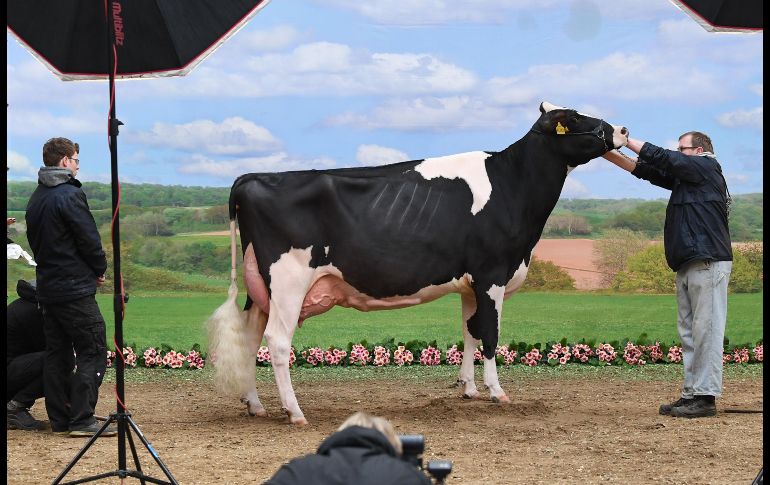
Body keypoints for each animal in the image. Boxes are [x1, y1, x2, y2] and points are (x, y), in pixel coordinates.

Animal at [207, 101, 628, 425]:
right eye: (573, 117)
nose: (622, 128)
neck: (512, 184)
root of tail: (253, 177)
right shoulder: (492, 274)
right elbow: (491, 335)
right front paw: (497, 392)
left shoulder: (469, 283)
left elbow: (470, 332)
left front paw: (468, 388)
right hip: (288, 280)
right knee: (277, 342)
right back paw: (295, 412)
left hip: (262, 287)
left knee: (249, 339)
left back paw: (255, 405)